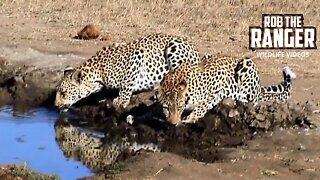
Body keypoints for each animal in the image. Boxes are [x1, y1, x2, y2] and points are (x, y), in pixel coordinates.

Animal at [55, 33, 200, 110]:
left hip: (174, 47)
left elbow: (126, 83)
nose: (56, 106)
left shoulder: (137, 55)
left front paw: (121, 100)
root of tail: (197, 52)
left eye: (63, 93)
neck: (98, 73)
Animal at [156, 55, 296, 125]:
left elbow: (202, 105)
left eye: (179, 107)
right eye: (166, 107)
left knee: (249, 100)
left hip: (246, 64)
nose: (173, 124)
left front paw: (191, 118)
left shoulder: (217, 83)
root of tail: (258, 88)